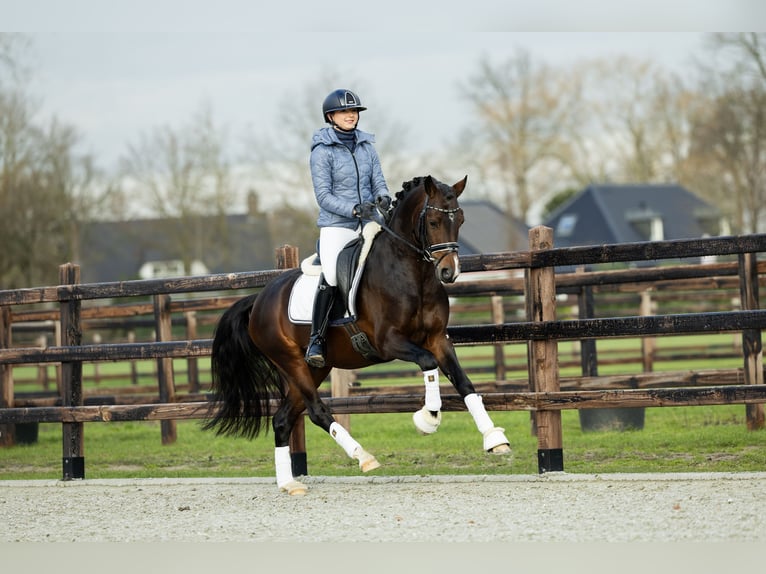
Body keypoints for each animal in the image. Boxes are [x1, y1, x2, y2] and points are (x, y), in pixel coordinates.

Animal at [202, 175, 511, 495]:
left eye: (460, 219)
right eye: (434, 221)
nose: (450, 272)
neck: (412, 275)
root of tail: (259, 299)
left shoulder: (438, 339)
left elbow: (464, 382)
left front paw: (494, 438)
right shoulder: (389, 342)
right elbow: (428, 363)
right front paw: (428, 419)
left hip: (315, 368)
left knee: (282, 420)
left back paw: (289, 483)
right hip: (291, 362)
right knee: (316, 411)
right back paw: (363, 457)